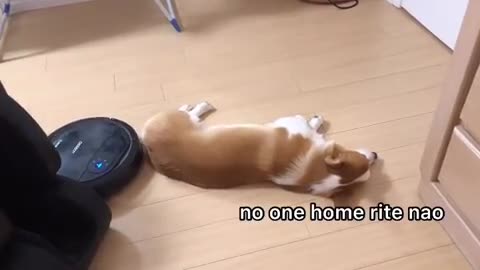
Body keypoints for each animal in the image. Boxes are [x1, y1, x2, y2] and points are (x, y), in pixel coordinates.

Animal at [141, 101, 376, 196]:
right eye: (360, 156)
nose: (375, 154)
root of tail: (146, 145)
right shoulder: (291, 125)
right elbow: (307, 124)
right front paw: (316, 122)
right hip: (183, 120)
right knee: (188, 112)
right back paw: (196, 105)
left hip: (186, 121)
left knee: (191, 112)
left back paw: (197, 106)